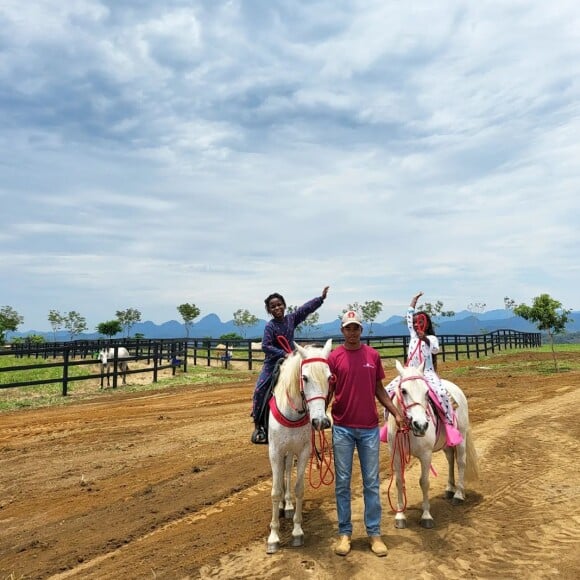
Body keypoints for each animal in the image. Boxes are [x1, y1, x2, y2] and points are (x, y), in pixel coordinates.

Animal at [266, 338, 334, 556]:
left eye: (330, 377)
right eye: (304, 377)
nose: (320, 421)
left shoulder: (304, 452)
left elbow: (299, 489)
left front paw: (297, 531)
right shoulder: (275, 451)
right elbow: (275, 491)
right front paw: (273, 536)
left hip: (291, 450)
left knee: (288, 470)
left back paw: (287, 505)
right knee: (281, 474)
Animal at [388, 362, 478, 532]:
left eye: (426, 392)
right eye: (403, 391)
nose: (421, 425)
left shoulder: (425, 455)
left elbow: (424, 482)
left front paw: (426, 516)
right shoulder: (396, 455)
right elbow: (399, 481)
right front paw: (400, 516)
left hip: (461, 438)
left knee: (460, 462)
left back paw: (458, 495)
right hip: (446, 444)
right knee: (450, 459)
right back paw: (450, 489)